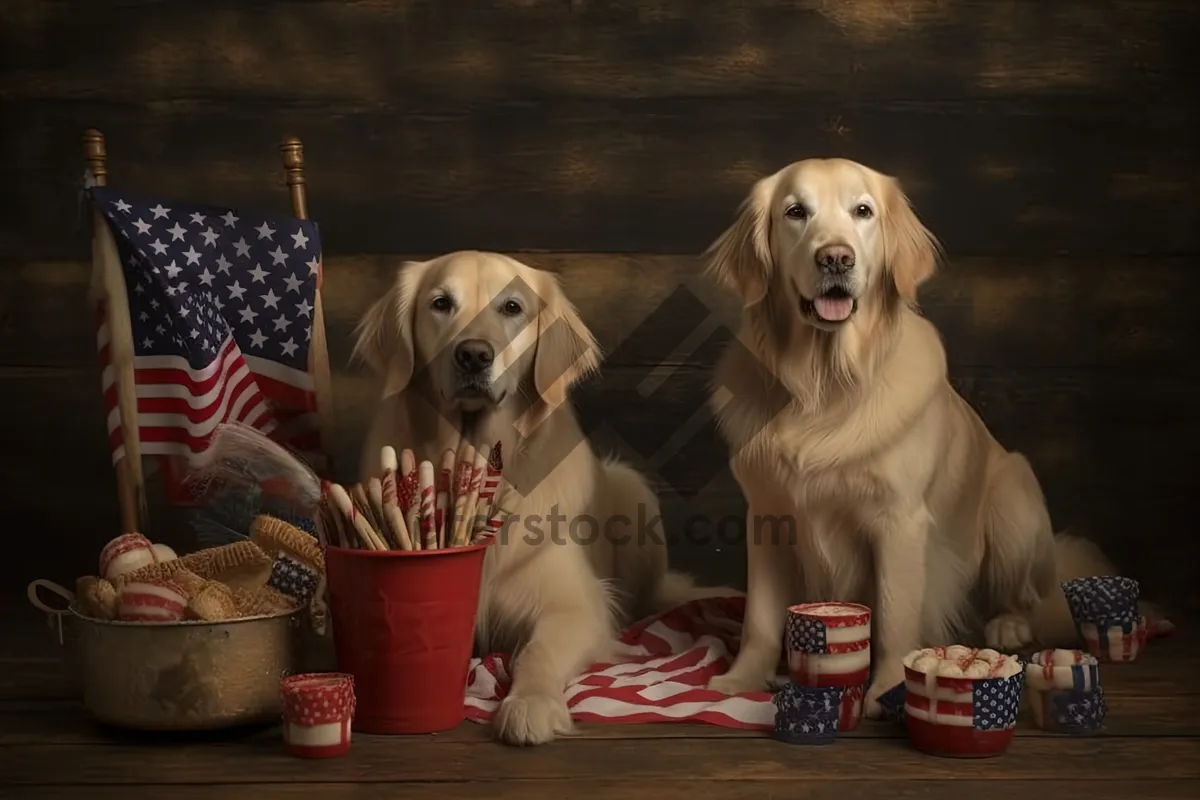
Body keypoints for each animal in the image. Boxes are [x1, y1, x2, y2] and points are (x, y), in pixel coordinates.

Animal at [352, 248, 710, 743]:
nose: (473, 355)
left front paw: (532, 703)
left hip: (635, 493)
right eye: (441, 303)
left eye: (512, 307)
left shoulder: (575, 604)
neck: (476, 463)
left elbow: (536, 651)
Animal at [700, 158, 1166, 719]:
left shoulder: (899, 520)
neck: (825, 386)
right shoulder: (768, 516)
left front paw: (884, 690)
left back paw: (1007, 624)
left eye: (863, 211)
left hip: (1013, 496)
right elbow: (761, 617)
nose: (835, 257)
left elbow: (896, 615)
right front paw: (741, 677)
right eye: (795, 212)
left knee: (1023, 598)